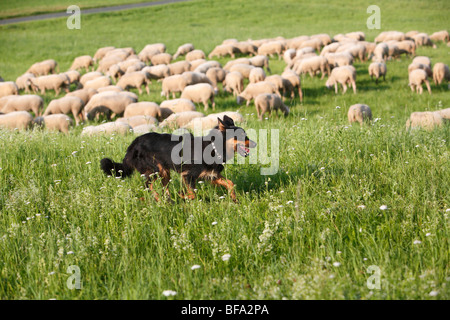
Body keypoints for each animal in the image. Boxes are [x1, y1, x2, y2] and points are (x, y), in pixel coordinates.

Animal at [102, 114, 256, 200]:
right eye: (242, 136)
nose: (254, 143)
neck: (214, 147)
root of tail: (134, 144)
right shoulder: (188, 175)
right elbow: (192, 194)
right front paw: (182, 195)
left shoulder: (211, 175)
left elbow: (230, 183)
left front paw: (234, 199)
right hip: (156, 169)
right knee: (148, 185)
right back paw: (160, 199)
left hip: (164, 172)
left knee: (162, 188)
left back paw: (168, 200)